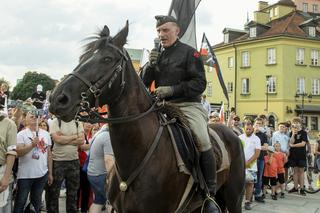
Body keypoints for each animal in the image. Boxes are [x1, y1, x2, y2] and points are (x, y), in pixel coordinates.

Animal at [49, 22, 245, 213]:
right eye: (82, 58)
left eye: (107, 59)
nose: (58, 99)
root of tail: (232, 133)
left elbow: (199, 80)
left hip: (234, 198)